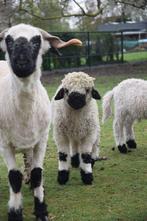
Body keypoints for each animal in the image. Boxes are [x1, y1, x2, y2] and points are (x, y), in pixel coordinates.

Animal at [0, 22, 82, 221]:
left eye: (37, 40)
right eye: (8, 40)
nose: (21, 62)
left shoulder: (41, 140)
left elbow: (38, 173)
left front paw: (41, 211)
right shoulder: (4, 144)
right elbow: (13, 177)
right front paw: (15, 213)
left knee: (28, 161)